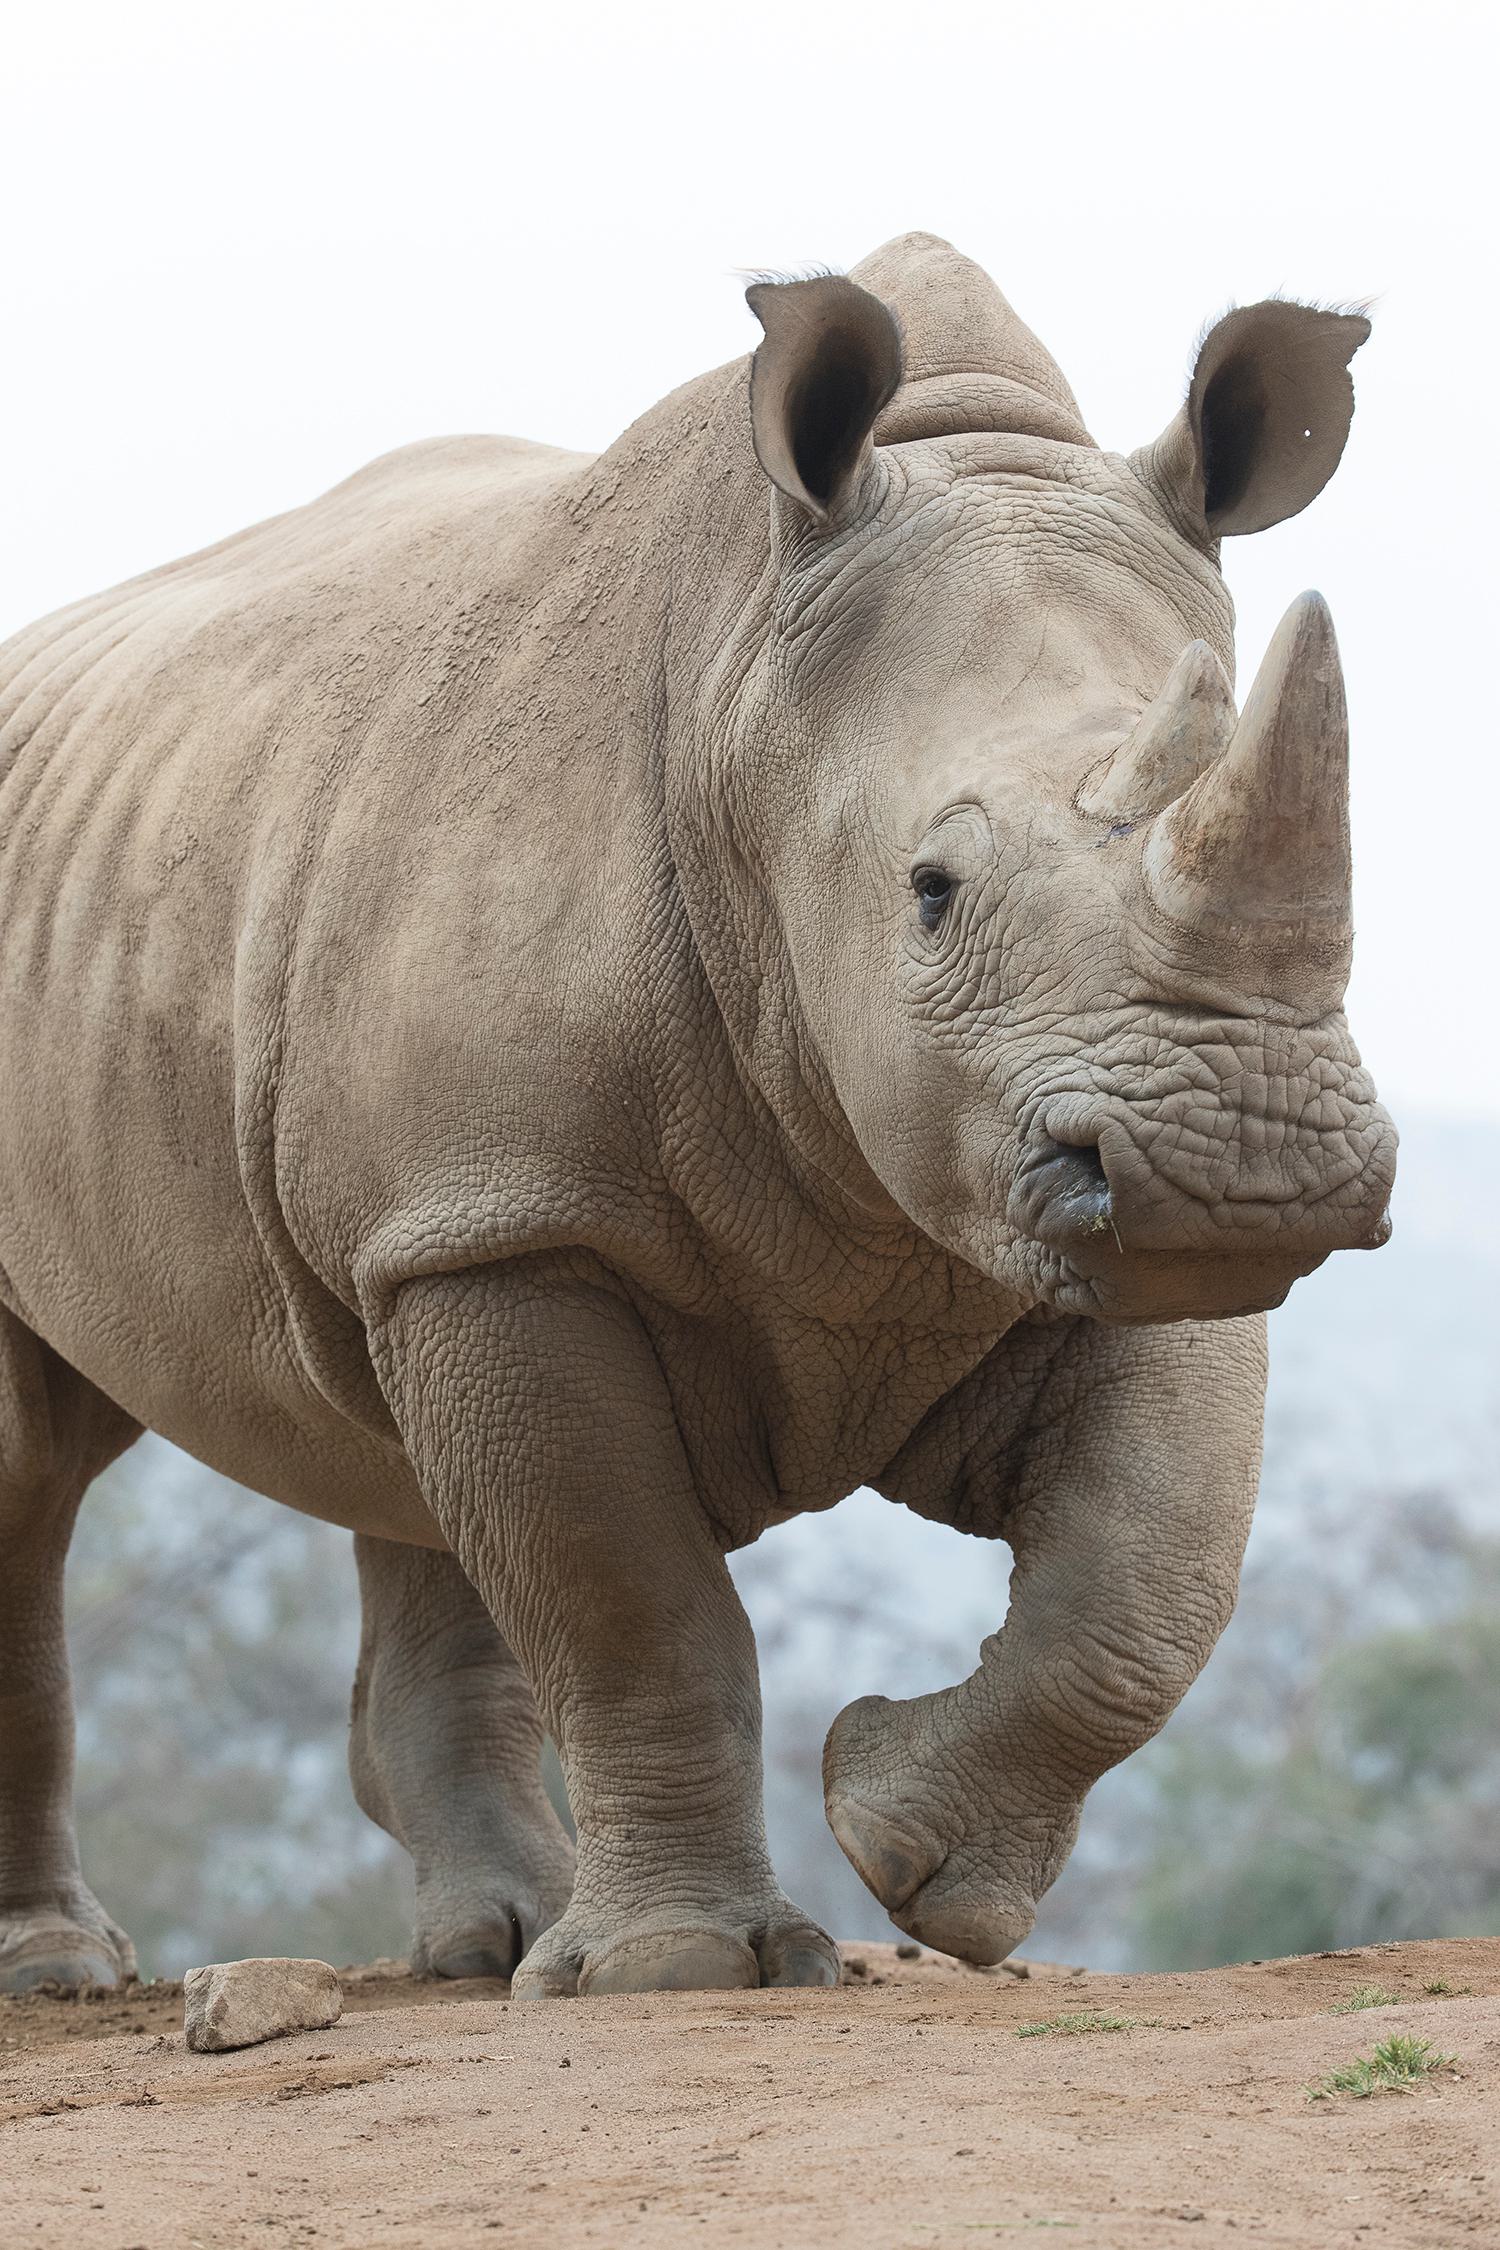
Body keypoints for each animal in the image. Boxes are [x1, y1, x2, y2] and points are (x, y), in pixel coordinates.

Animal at [0, 233, 1395, 1998]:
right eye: (931, 890)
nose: (1253, 1164)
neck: (750, 694)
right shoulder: (516, 1218)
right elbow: (631, 1600)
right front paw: (678, 1966)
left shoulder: (1072, 1199)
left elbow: (1152, 1575)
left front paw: (913, 1860)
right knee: (41, 1470)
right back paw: (68, 1973)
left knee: (397, 1448)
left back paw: (488, 1948)